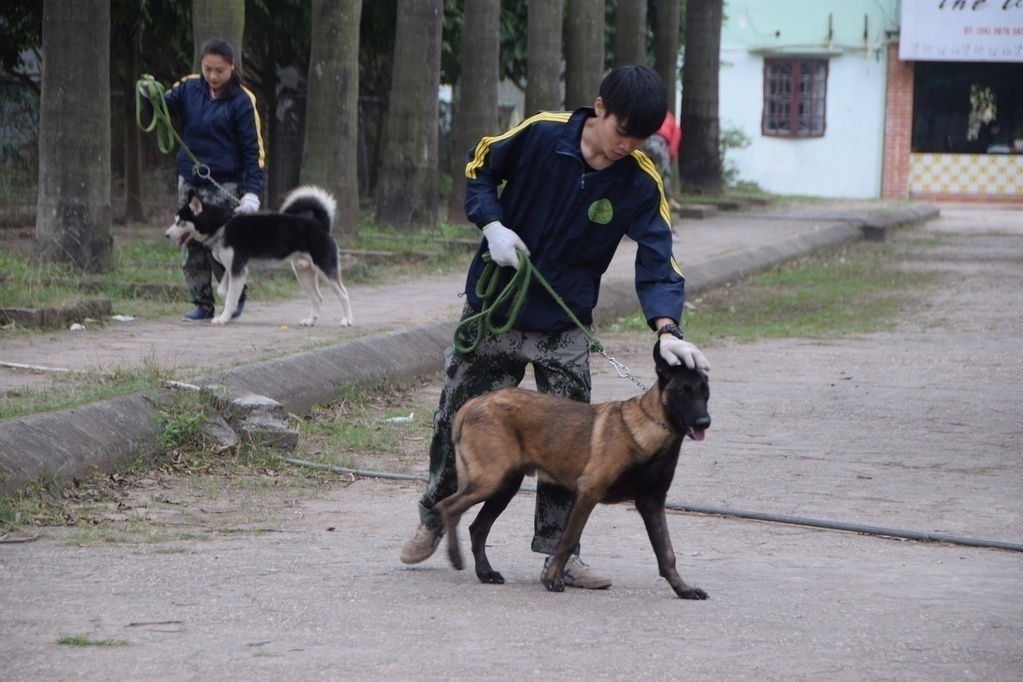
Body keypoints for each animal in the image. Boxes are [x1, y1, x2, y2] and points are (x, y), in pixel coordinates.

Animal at [167, 185, 356, 327]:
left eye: (180, 222)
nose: (166, 235)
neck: (223, 225)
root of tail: (321, 224)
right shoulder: (231, 269)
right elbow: (223, 291)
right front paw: (230, 312)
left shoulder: (238, 269)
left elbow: (230, 298)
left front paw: (223, 318)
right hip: (303, 274)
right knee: (317, 298)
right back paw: (310, 321)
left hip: (325, 270)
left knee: (344, 294)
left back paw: (347, 320)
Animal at [433, 341, 712, 597]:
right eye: (684, 392)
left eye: (705, 393)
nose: (705, 422)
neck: (654, 428)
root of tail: (475, 402)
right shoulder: (588, 491)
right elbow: (567, 540)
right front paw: (552, 579)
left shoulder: (652, 503)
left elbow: (667, 553)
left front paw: (683, 589)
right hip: (492, 481)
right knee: (447, 507)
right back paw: (455, 557)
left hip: (505, 485)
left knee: (478, 528)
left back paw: (485, 572)